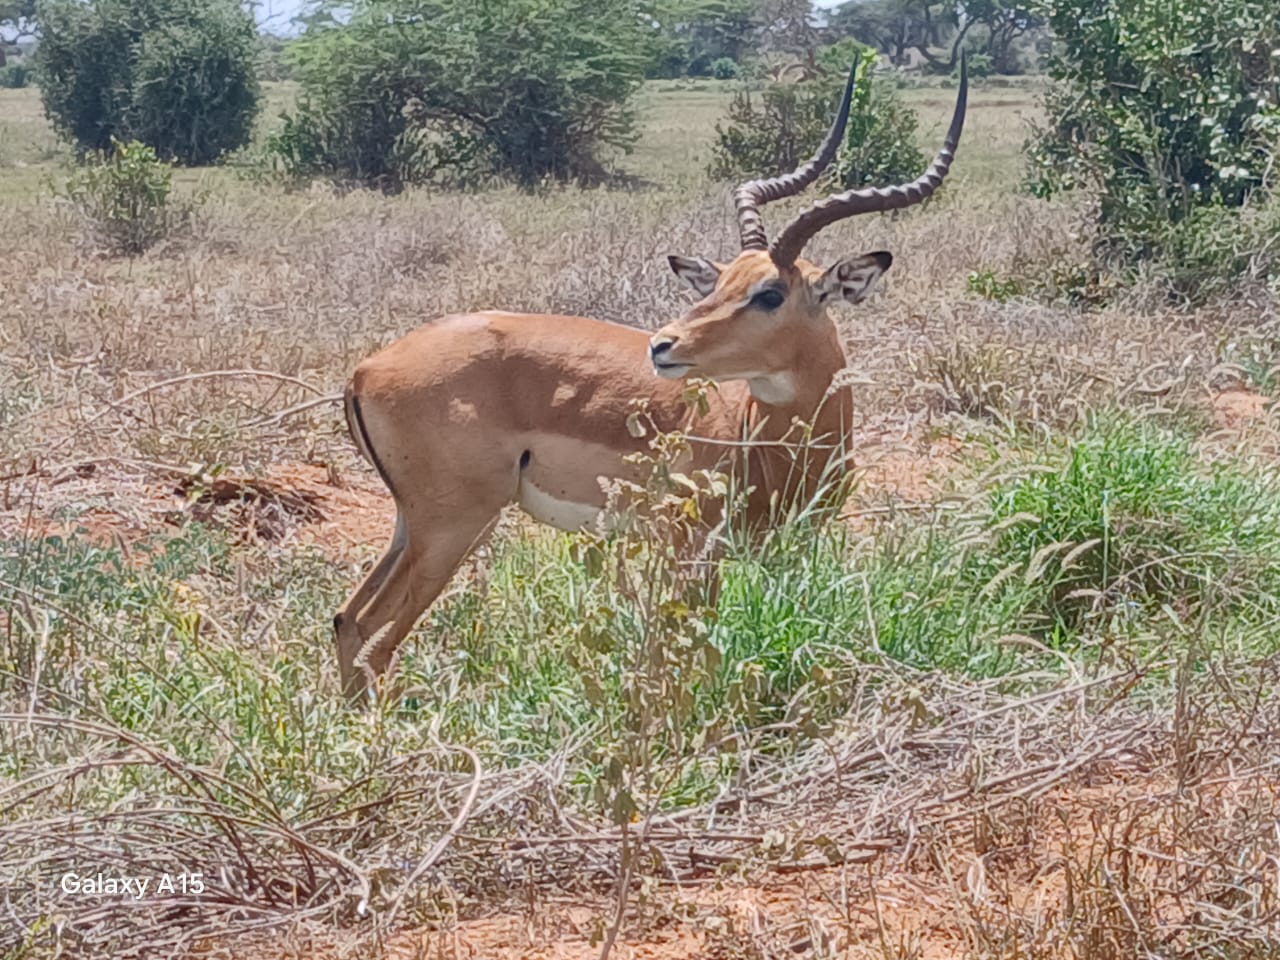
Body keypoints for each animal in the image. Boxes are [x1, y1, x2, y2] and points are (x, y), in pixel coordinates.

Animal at [334, 62, 968, 697]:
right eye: (723, 282)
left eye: (769, 293)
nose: (663, 345)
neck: (769, 440)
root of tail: (367, 370)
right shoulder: (692, 548)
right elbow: (687, 652)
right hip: (455, 525)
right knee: (374, 635)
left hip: (413, 523)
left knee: (347, 619)